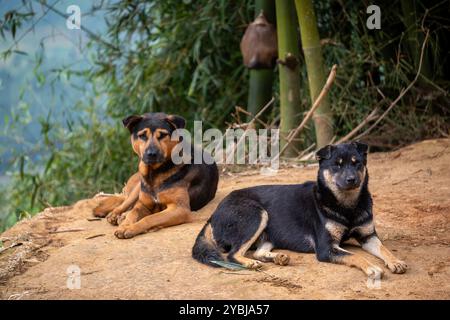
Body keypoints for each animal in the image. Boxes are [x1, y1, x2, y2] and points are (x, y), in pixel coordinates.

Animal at [92, 111, 218, 239]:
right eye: (142, 135)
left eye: (162, 135)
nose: (151, 154)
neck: (155, 172)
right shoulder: (143, 204)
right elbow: (133, 213)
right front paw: (125, 225)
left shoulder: (180, 209)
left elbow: (149, 218)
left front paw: (130, 228)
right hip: (138, 187)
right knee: (125, 203)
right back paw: (116, 215)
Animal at [192, 141, 410, 278]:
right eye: (337, 165)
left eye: (357, 164)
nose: (352, 180)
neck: (346, 206)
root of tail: (213, 215)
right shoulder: (326, 248)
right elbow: (355, 255)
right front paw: (372, 268)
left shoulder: (368, 236)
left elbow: (384, 248)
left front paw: (395, 261)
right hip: (257, 215)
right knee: (233, 254)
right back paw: (251, 264)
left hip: (268, 232)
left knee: (257, 251)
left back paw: (278, 257)